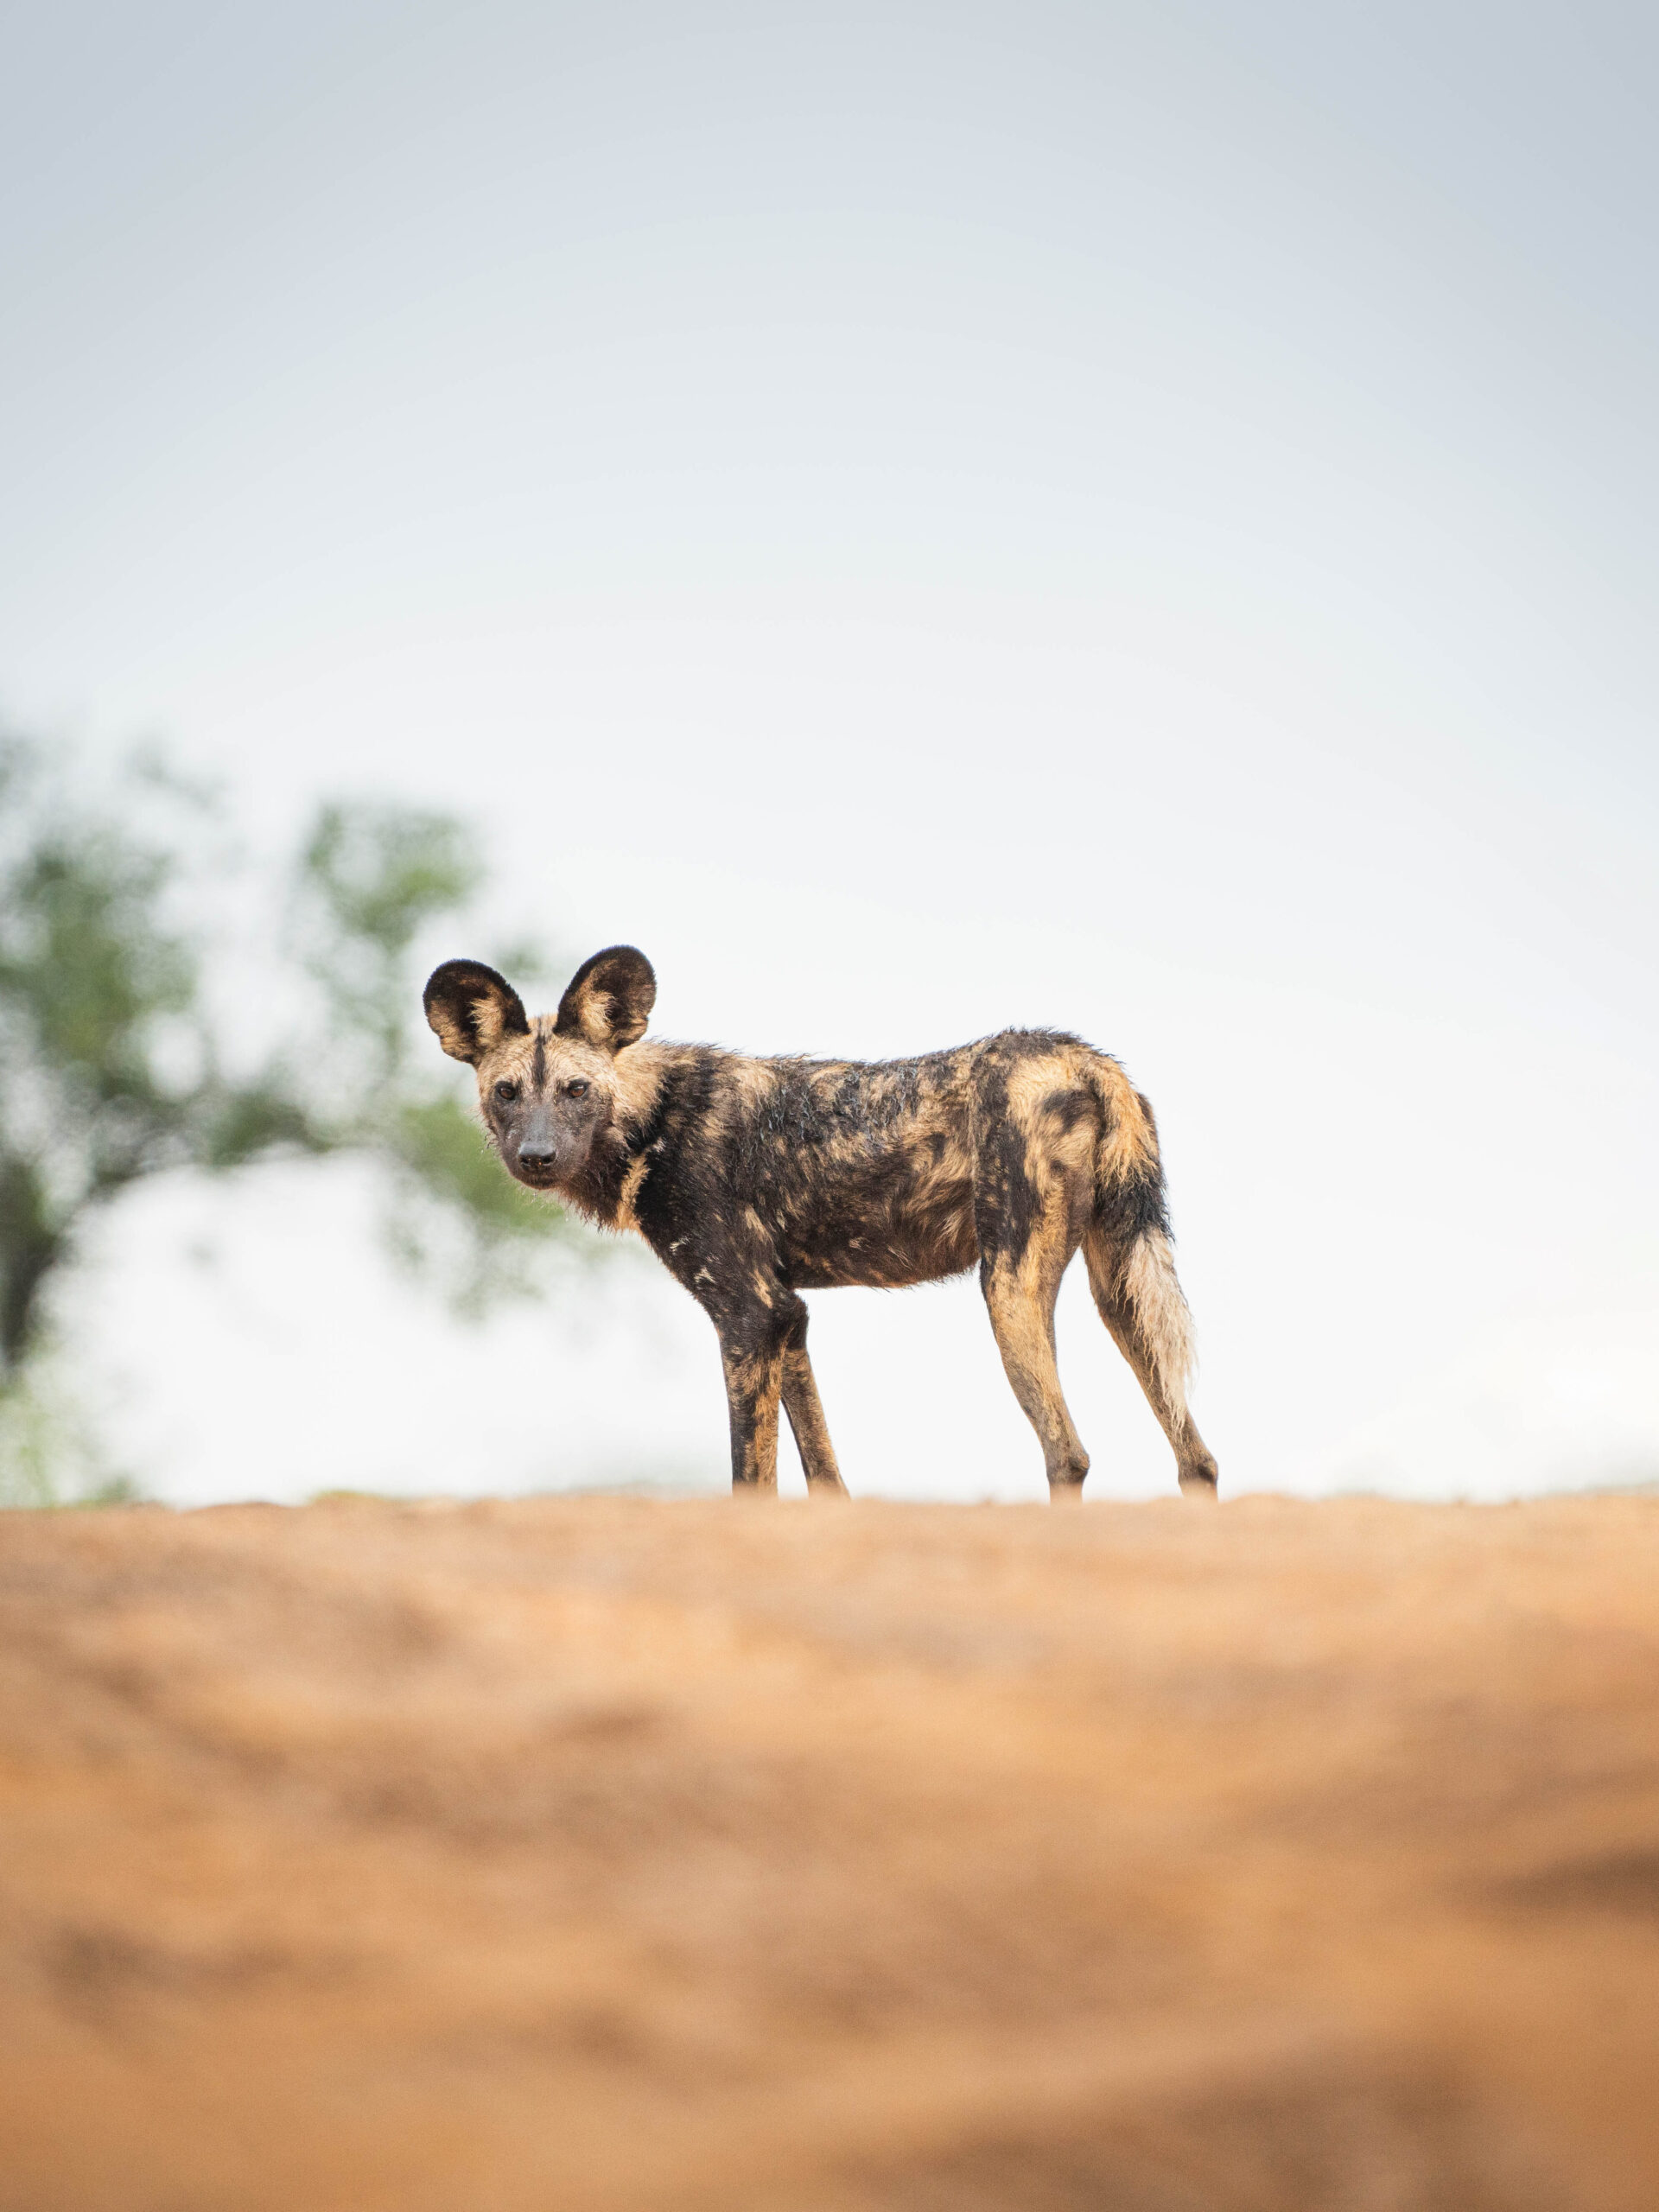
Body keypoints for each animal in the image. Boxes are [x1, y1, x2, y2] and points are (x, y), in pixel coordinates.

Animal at [422, 950, 1211, 1503]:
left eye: (576, 1090)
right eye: (507, 1092)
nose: (536, 1156)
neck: (654, 1116)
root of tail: (1086, 1058)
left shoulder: (748, 1314)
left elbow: (750, 1476)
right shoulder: (787, 1316)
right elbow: (824, 1471)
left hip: (1008, 1290)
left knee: (1066, 1454)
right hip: (1124, 1296)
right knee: (1196, 1460)